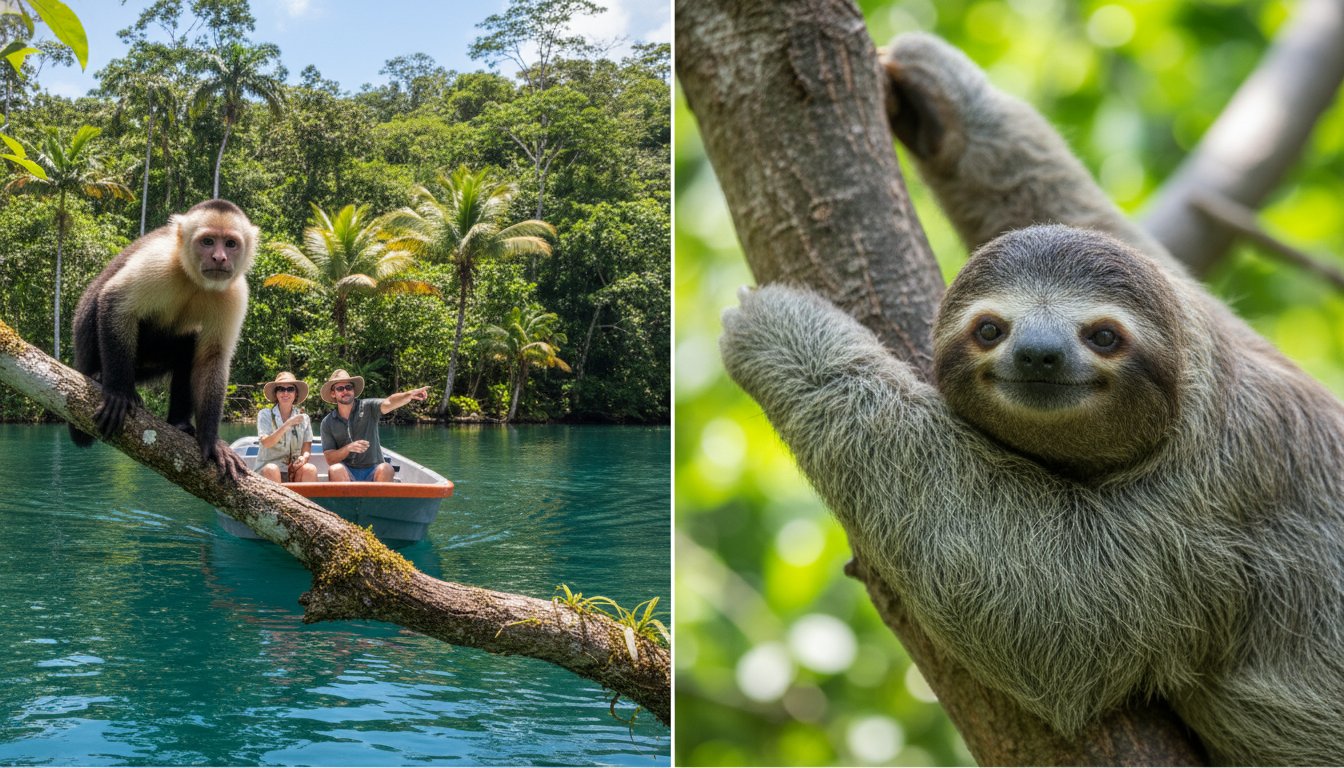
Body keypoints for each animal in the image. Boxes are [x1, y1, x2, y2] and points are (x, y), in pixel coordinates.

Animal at [69, 199, 257, 480]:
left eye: (231, 244)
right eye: (208, 241)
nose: (219, 258)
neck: (194, 280)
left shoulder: (234, 292)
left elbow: (212, 357)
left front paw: (211, 440)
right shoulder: (159, 261)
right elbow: (116, 305)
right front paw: (118, 392)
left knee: (189, 346)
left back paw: (179, 423)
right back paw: (102, 377)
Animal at [718, 33, 1344, 766]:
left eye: (1103, 336)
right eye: (991, 328)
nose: (1040, 352)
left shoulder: (1210, 511)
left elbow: (1054, 606)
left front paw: (781, 330)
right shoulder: (1228, 343)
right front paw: (951, 99)